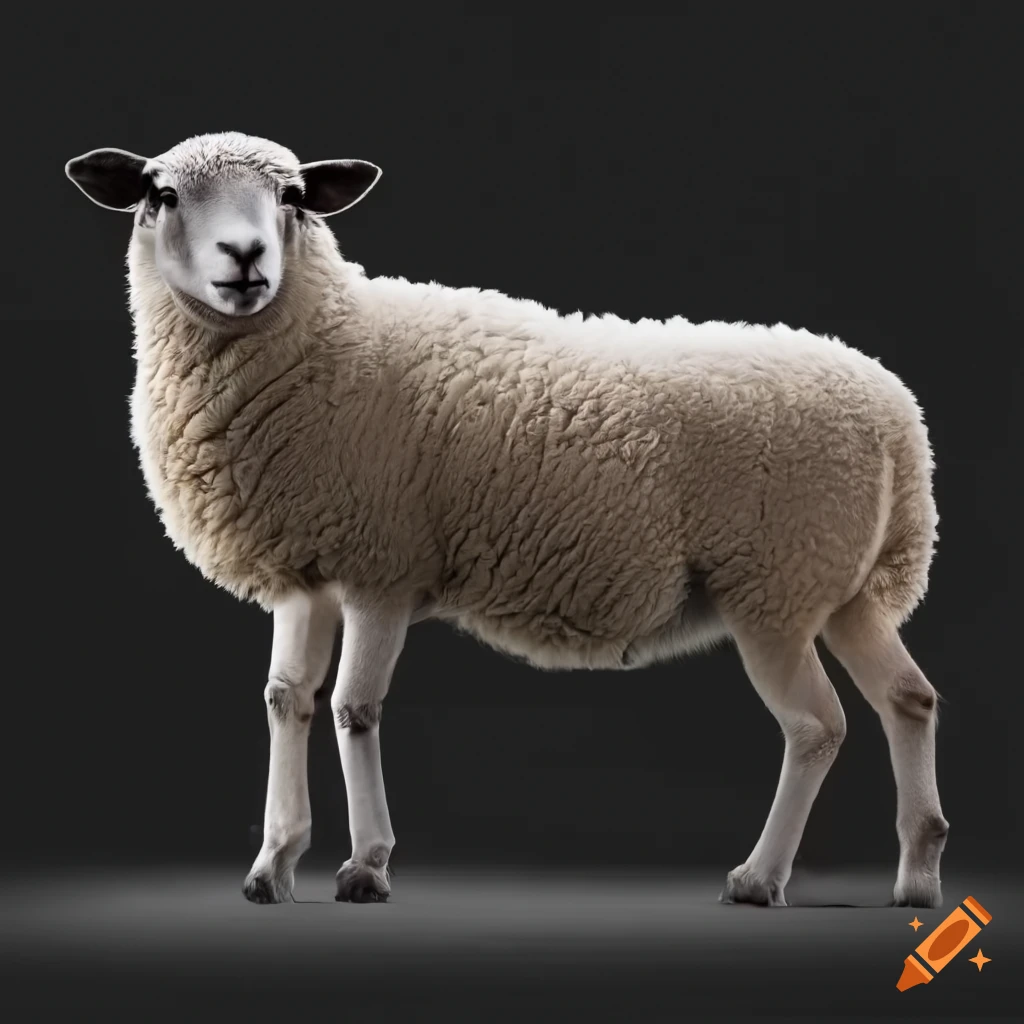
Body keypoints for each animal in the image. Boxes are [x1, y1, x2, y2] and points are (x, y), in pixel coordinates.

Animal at [65, 131, 949, 910]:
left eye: (293, 198)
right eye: (160, 195)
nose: (245, 256)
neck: (324, 341)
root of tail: (899, 424)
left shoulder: (383, 567)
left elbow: (354, 708)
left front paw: (367, 866)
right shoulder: (308, 573)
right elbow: (288, 700)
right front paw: (273, 864)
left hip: (775, 588)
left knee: (816, 727)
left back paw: (760, 880)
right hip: (840, 591)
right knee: (909, 699)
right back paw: (917, 876)